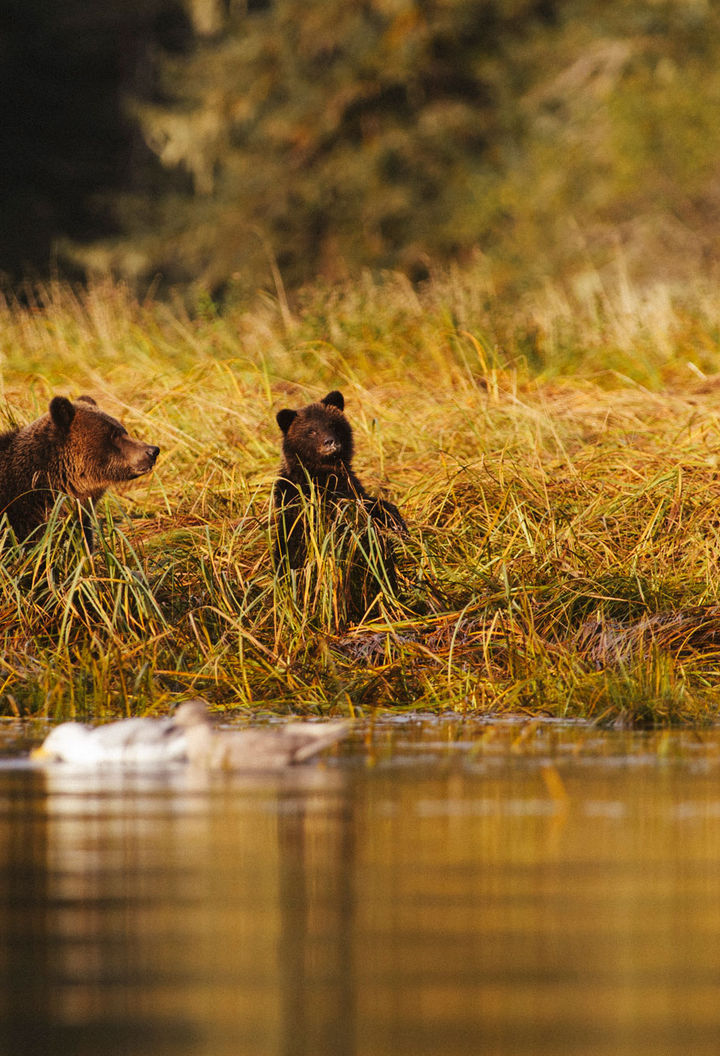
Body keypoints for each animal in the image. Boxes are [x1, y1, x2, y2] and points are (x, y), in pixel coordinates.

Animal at [272, 388, 403, 604]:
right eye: (311, 431)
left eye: (332, 424)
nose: (330, 442)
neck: (322, 474)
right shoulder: (296, 502)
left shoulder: (349, 488)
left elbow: (373, 507)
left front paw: (398, 524)